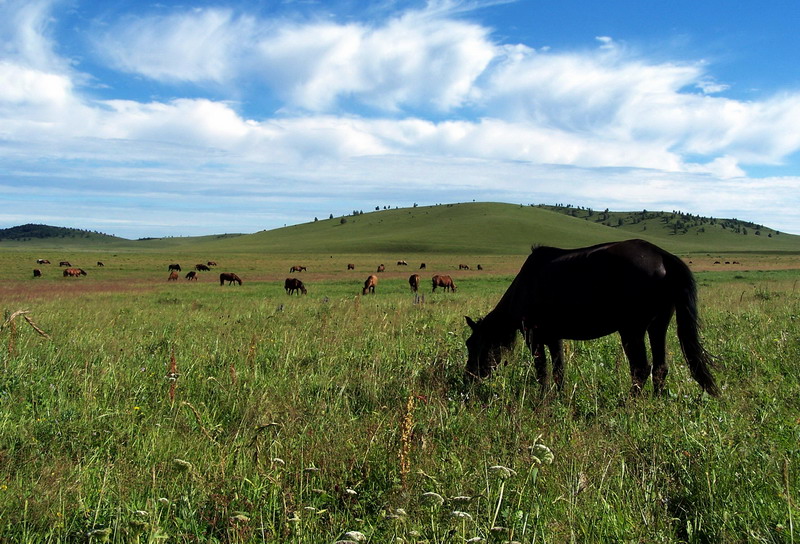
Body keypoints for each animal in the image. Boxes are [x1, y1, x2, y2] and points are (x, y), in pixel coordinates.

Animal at [462, 240, 720, 398]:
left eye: (474, 345)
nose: (468, 378)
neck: (524, 287)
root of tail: (663, 256)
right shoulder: (553, 337)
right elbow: (559, 370)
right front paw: (560, 397)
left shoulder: (533, 336)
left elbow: (541, 370)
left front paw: (543, 397)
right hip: (658, 325)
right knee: (659, 367)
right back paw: (656, 401)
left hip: (632, 329)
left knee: (640, 368)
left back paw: (630, 403)